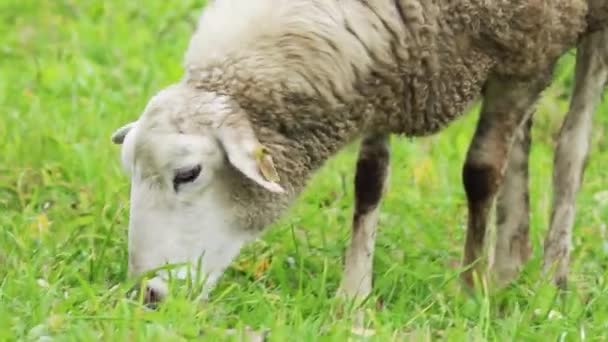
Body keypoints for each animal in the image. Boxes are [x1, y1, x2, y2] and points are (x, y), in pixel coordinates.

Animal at [110, 0, 608, 304]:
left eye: (188, 174)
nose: (147, 295)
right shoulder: (390, 74)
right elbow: (369, 182)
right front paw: (353, 297)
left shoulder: (525, 47)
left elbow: (481, 172)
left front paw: (469, 288)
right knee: (525, 140)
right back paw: (509, 265)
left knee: (571, 147)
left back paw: (551, 278)